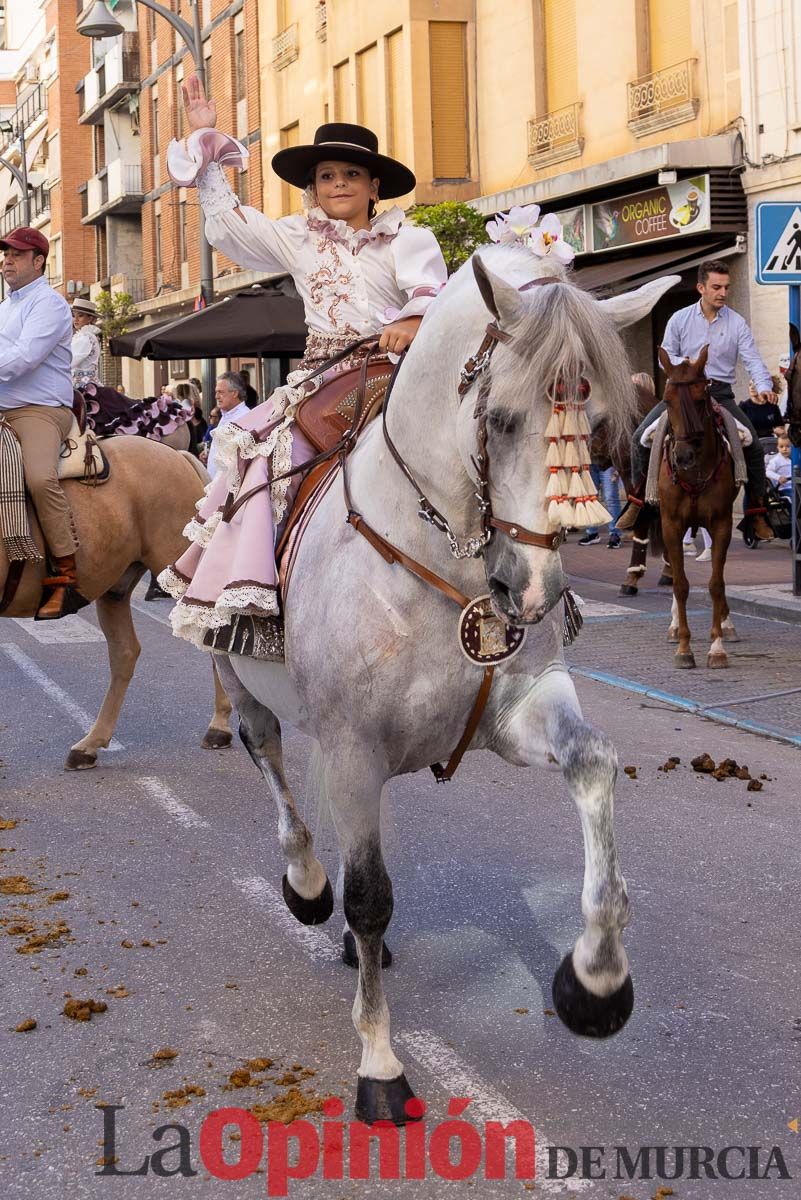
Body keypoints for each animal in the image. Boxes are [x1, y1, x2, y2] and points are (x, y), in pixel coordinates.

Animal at [212, 246, 676, 1123]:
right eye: (501, 420)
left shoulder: (519, 710)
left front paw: (595, 982)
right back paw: (304, 884)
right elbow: (367, 896)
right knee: (268, 756)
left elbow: (593, 763)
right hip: (243, 681)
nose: (532, 591)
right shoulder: (354, 748)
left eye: (598, 420)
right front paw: (381, 1064)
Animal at [657, 348, 738, 672]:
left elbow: (716, 583)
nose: (684, 456)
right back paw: (674, 626)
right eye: (667, 400)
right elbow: (680, 585)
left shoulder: (722, 523)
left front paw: (717, 647)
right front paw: (684, 647)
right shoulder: (670, 524)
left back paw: (727, 625)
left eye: (701, 399)